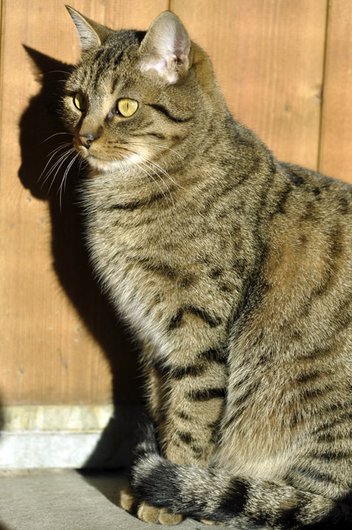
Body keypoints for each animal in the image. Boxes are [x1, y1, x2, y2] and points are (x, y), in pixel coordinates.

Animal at [61, 5, 352, 528]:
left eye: (125, 107)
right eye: (77, 100)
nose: (83, 138)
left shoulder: (196, 330)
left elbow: (190, 415)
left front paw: (167, 495)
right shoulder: (153, 340)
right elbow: (164, 408)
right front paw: (159, 485)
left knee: (316, 504)